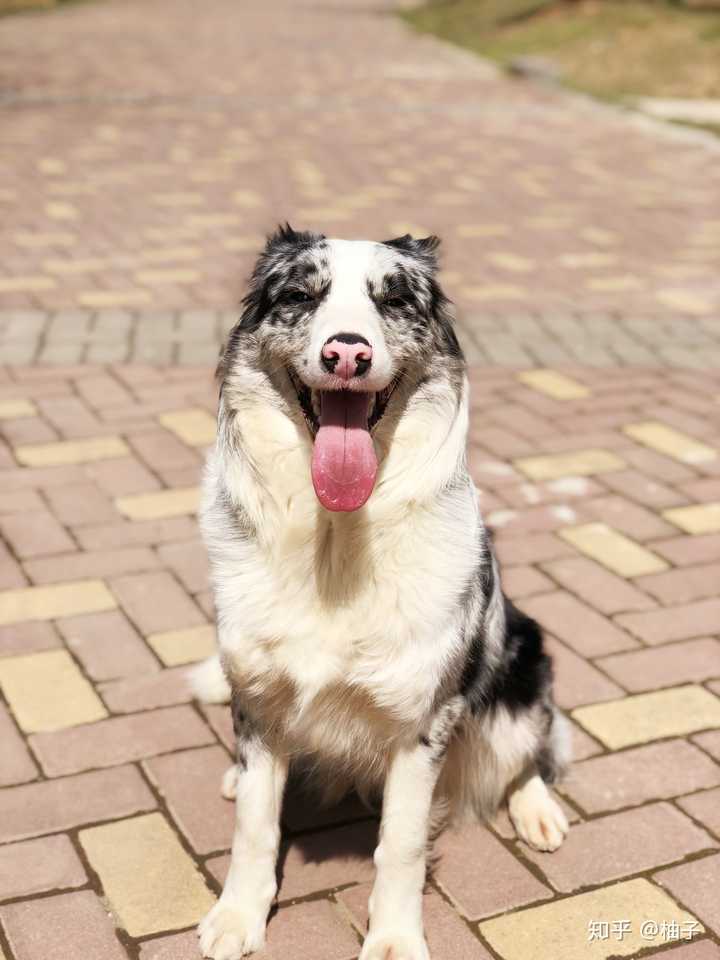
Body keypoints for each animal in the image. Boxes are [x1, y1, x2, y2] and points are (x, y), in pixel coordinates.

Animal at [190, 225, 568, 960]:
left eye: (394, 300)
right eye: (301, 294)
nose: (347, 351)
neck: (335, 536)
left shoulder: (421, 723)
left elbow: (401, 845)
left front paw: (394, 938)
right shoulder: (258, 696)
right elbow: (254, 825)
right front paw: (237, 916)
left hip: (524, 660)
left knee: (529, 747)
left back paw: (538, 809)